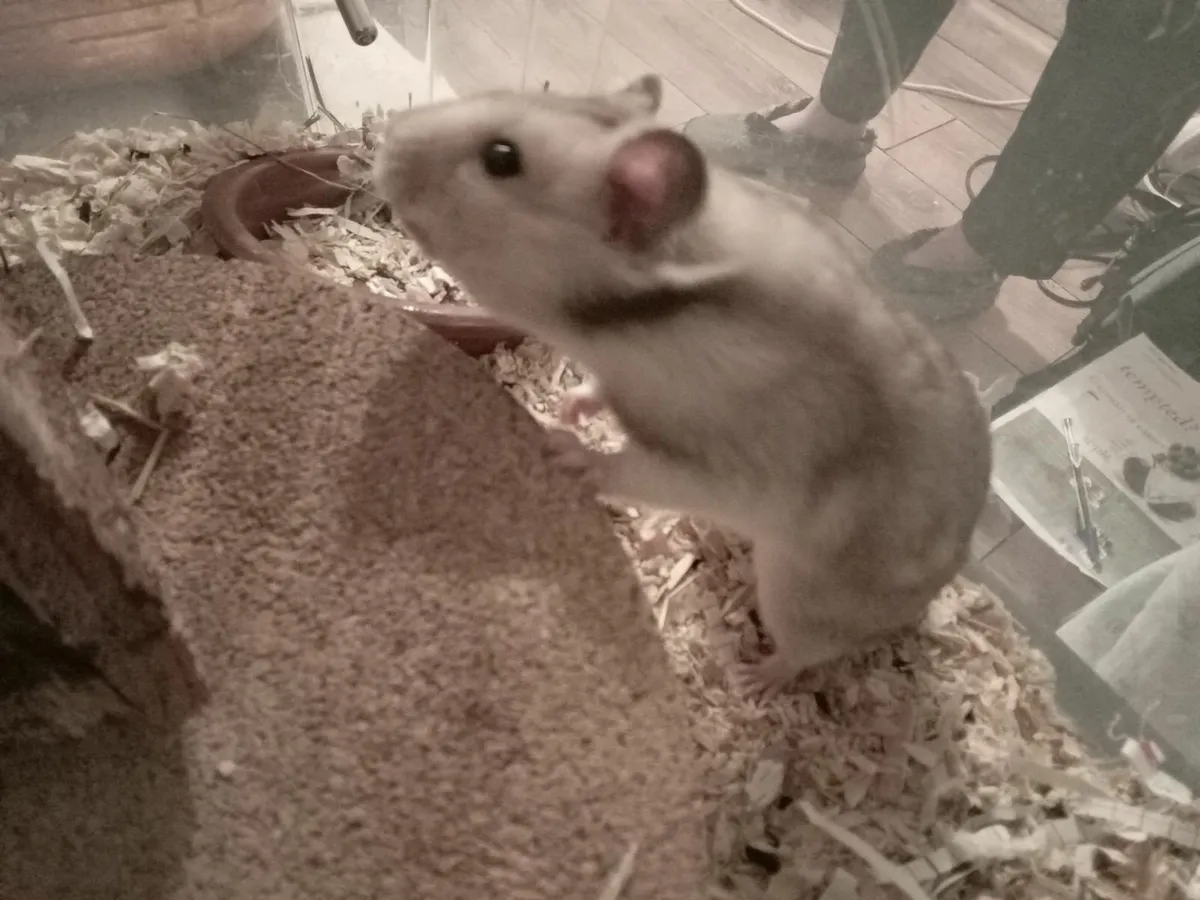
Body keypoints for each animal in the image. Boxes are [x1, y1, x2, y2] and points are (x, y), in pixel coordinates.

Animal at [374, 75, 993, 697]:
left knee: (808, 652)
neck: (641, 314)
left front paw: (562, 444)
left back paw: (752, 678)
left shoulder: (726, 468)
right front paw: (570, 407)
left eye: (501, 158)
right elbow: (598, 393)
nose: (386, 139)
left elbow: (633, 467)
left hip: (800, 597)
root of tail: (930, 595)